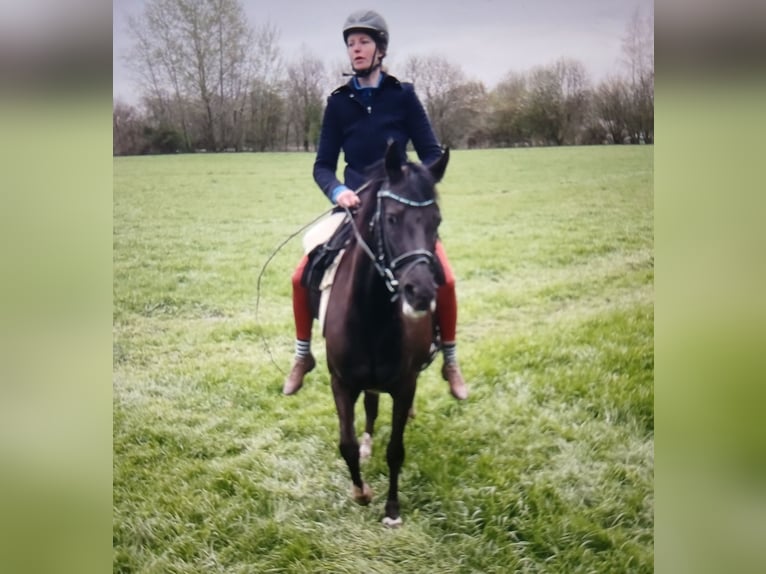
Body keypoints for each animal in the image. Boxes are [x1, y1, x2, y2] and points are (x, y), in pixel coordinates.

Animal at [324, 142, 450, 528]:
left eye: (436, 221)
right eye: (392, 218)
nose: (421, 292)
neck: (372, 316)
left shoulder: (404, 385)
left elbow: (396, 450)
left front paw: (392, 509)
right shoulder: (341, 382)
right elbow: (346, 444)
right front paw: (361, 492)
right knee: (369, 407)